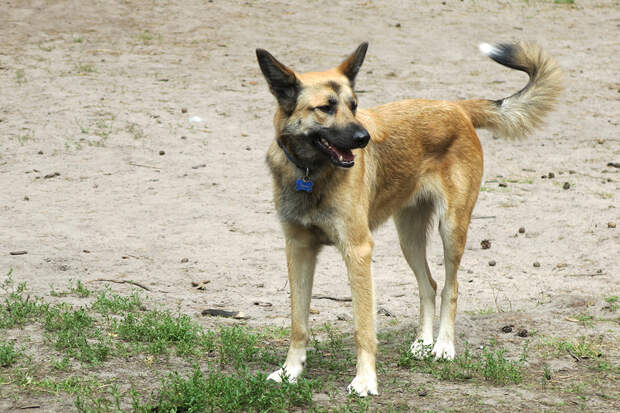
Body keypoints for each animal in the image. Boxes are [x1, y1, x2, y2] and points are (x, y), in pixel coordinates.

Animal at [256, 41, 560, 396]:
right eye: (325, 108)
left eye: (354, 105)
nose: (364, 138)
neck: (311, 172)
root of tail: (456, 108)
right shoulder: (298, 249)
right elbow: (298, 323)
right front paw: (290, 372)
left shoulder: (357, 252)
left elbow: (363, 328)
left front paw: (365, 380)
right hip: (409, 236)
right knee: (429, 284)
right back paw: (423, 342)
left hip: (451, 230)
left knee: (451, 287)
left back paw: (443, 346)